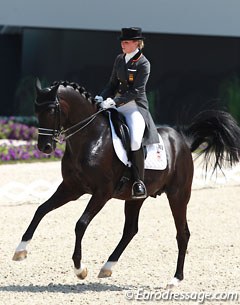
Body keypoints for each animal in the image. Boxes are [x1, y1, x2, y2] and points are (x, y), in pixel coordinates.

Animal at [12, 79, 240, 286]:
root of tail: (183, 141)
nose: (44, 147)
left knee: (182, 233)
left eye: (52, 110)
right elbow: (41, 210)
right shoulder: (71, 188)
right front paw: (20, 251)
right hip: (135, 198)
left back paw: (175, 279)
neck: (90, 138)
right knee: (131, 230)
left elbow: (80, 224)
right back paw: (107, 267)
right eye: (36, 109)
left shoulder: (102, 193)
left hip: (178, 195)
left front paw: (80, 269)